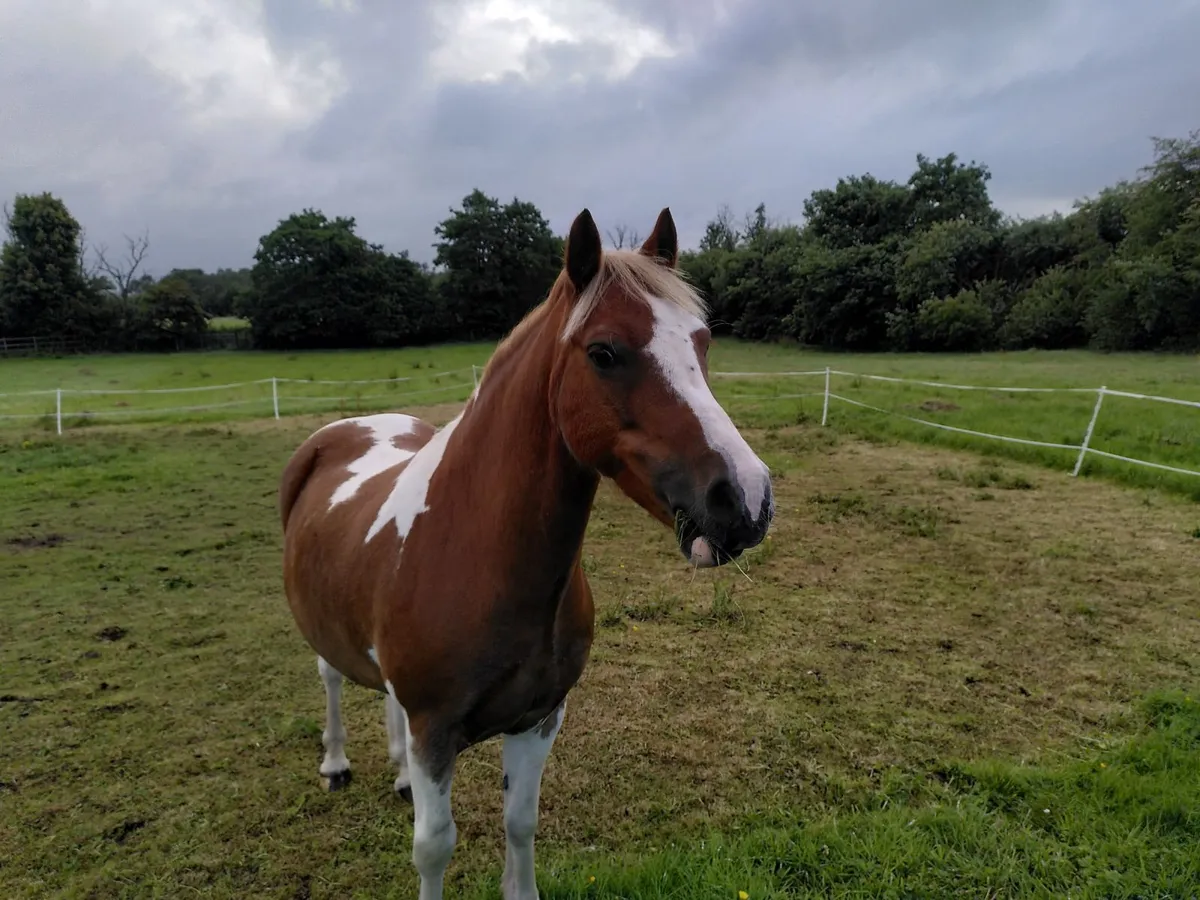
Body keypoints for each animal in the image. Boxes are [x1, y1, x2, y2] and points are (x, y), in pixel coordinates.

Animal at [277, 206, 775, 900]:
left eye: (701, 344)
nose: (746, 499)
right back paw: (335, 762)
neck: (476, 555)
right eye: (603, 352)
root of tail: (345, 428)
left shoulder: (539, 719)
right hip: (322, 632)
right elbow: (434, 848)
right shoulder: (436, 733)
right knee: (329, 679)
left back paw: (397, 775)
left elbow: (520, 823)